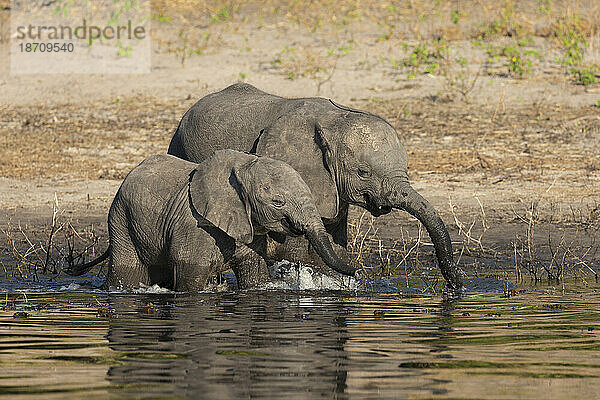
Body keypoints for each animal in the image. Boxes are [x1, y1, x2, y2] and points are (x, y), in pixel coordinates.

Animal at [65, 150, 356, 290]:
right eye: (277, 202)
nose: (357, 272)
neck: (243, 167)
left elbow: (254, 276)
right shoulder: (194, 225)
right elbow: (190, 278)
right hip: (121, 219)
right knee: (127, 271)